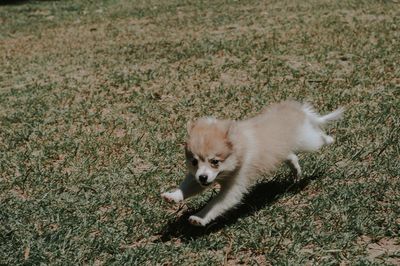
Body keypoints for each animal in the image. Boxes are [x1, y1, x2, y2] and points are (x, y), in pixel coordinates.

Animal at [161, 102, 342, 227]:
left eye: (215, 162)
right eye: (194, 161)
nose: (203, 177)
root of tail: (298, 110)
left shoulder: (234, 187)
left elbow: (215, 205)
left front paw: (199, 218)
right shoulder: (197, 177)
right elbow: (187, 187)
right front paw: (173, 196)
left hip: (306, 139)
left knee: (317, 137)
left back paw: (329, 139)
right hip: (281, 150)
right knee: (292, 157)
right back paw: (296, 172)